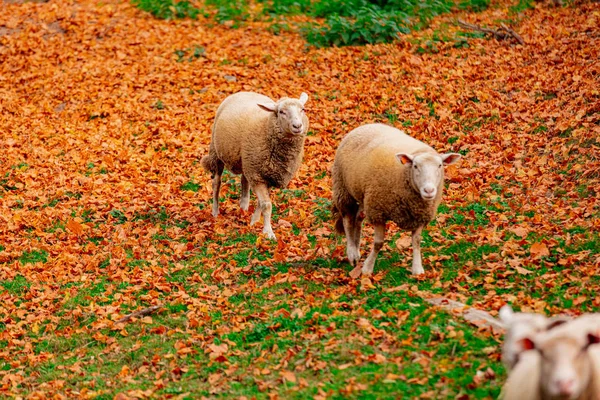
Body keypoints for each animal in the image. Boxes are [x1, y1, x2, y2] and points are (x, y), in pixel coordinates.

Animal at [202, 91, 310, 238]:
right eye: (281, 112)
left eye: (303, 109)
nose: (298, 126)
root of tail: (244, 91)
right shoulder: (257, 175)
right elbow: (266, 205)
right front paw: (268, 232)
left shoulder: (267, 175)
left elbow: (261, 203)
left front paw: (254, 221)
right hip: (216, 152)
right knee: (216, 183)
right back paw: (215, 212)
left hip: (246, 161)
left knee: (244, 182)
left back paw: (243, 207)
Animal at [330, 122, 462, 278]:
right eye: (415, 166)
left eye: (440, 165)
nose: (429, 191)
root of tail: (368, 124)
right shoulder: (378, 211)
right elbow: (378, 243)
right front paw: (367, 268)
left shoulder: (420, 215)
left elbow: (416, 241)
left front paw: (417, 269)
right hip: (343, 189)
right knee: (348, 220)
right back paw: (352, 254)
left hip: (362, 194)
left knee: (357, 220)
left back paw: (356, 249)